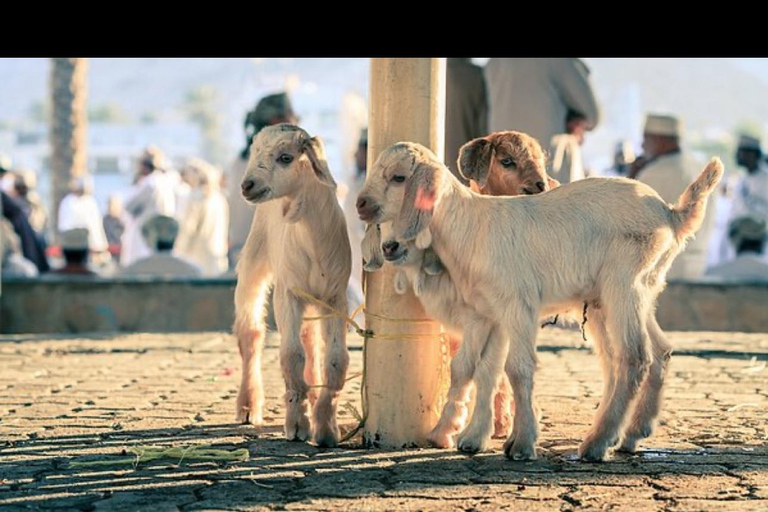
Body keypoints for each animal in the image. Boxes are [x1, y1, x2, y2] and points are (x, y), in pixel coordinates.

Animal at [234, 125, 352, 448]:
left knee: (310, 340)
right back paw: (248, 405)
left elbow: (335, 360)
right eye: (254, 152)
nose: (247, 185)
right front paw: (297, 425)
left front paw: (325, 428)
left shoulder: (336, 297)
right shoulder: (288, 293)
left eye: (285, 157)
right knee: (251, 334)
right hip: (253, 261)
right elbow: (290, 355)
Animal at [356, 142, 724, 462]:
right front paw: (471, 437)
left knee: (634, 357)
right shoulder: (489, 313)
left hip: (624, 284)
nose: (361, 204)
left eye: (398, 177)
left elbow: (517, 369)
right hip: (638, 291)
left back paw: (597, 442)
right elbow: (481, 370)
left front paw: (521, 443)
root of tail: (671, 214)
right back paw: (631, 434)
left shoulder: (517, 305)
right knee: (655, 351)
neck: (471, 227)